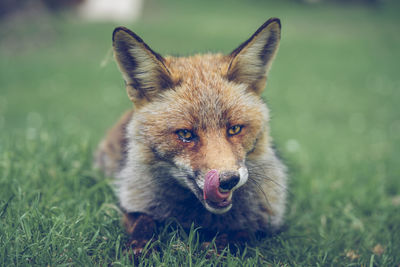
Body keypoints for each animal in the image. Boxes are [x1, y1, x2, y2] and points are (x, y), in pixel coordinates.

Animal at [94, 17, 288, 256]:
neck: (200, 218)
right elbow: (142, 222)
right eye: (186, 134)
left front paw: (215, 250)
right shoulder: (133, 202)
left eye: (234, 129)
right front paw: (142, 248)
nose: (228, 180)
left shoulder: (266, 222)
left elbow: (243, 233)